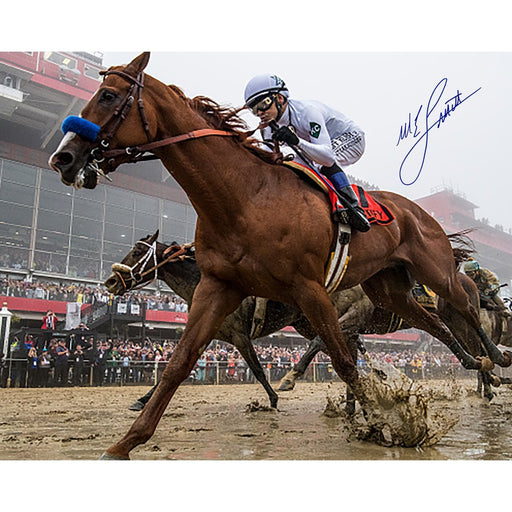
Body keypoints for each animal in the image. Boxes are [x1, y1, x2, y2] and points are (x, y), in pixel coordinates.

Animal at [48, 53, 508, 460]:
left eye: (108, 95)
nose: (62, 157)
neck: (245, 198)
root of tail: (419, 210)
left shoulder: (309, 289)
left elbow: (342, 361)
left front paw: (384, 423)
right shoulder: (220, 288)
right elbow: (179, 363)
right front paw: (125, 443)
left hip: (435, 269)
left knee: (467, 302)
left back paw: (495, 356)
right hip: (388, 288)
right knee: (433, 322)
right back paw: (474, 360)